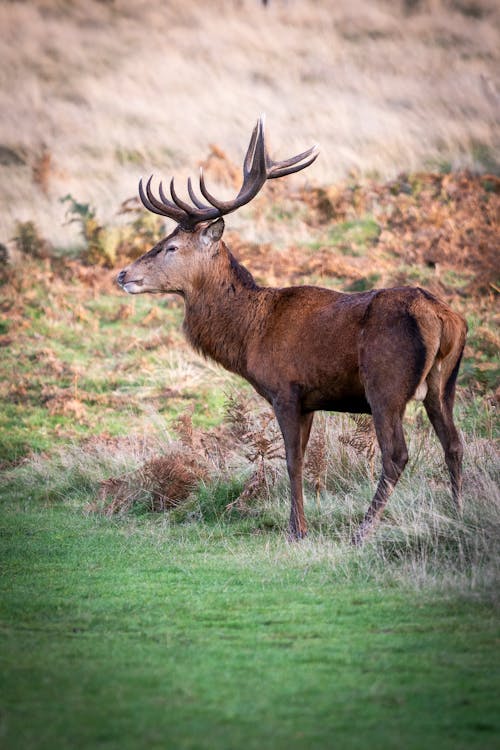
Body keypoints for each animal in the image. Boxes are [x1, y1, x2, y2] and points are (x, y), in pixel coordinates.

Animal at [118, 120, 468, 548]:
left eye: (170, 247)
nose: (123, 274)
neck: (251, 335)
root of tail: (443, 318)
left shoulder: (286, 389)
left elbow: (293, 459)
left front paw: (296, 530)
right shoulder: (311, 400)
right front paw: (300, 525)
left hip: (385, 383)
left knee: (396, 454)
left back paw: (362, 531)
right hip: (443, 383)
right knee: (454, 444)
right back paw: (457, 514)